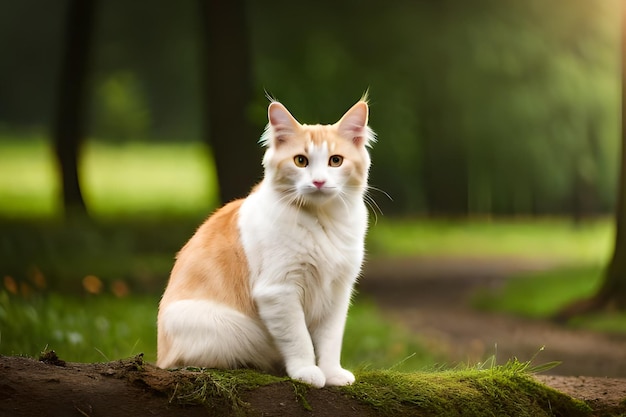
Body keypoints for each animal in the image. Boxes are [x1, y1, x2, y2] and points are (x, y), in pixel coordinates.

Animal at [158, 96, 372, 386]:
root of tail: (160, 357)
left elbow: (330, 341)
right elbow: (299, 339)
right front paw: (307, 371)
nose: (318, 181)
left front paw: (332, 374)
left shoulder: (338, 293)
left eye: (335, 161)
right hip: (233, 328)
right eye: (301, 161)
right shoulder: (279, 290)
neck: (323, 222)